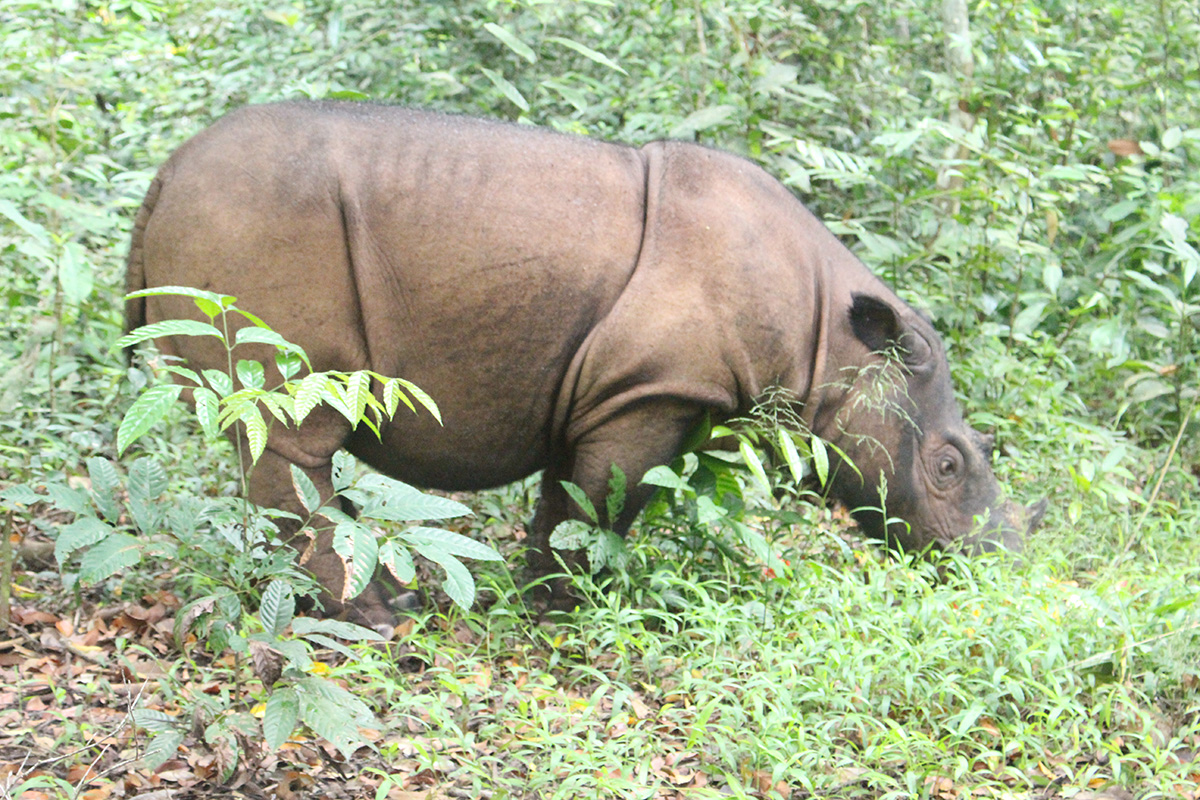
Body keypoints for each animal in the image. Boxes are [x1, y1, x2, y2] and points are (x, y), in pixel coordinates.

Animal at [124, 100, 1041, 623]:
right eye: (949, 466)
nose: (996, 564)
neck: (833, 333)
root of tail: (164, 176)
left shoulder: (614, 390)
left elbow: (568, 496)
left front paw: (541, 601)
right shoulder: (650, 388)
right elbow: (607, 503)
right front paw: (571, 613)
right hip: (258, 218)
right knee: (289, 428)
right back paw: (383, 622)